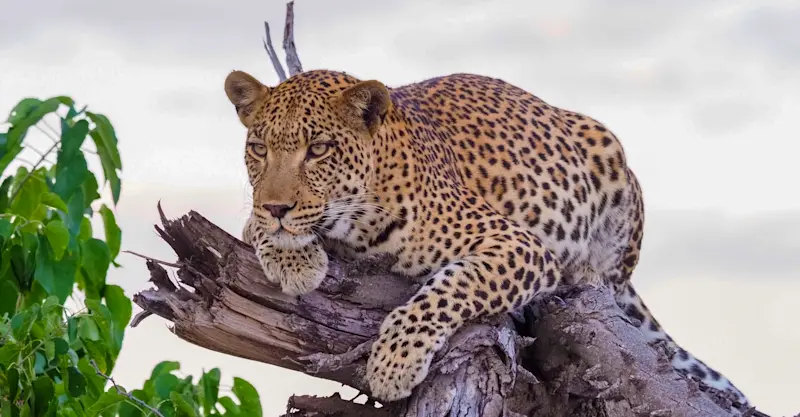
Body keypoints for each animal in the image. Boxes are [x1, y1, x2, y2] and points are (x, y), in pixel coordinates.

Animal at [224, 69, 749, 405]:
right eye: (259, 148)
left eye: (319, 149)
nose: (277, 207)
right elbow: (257, 229)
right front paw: (294, 259)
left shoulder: (519, 245)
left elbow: (446, 291)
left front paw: (393, 364)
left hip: (611, 155)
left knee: (611, 278)